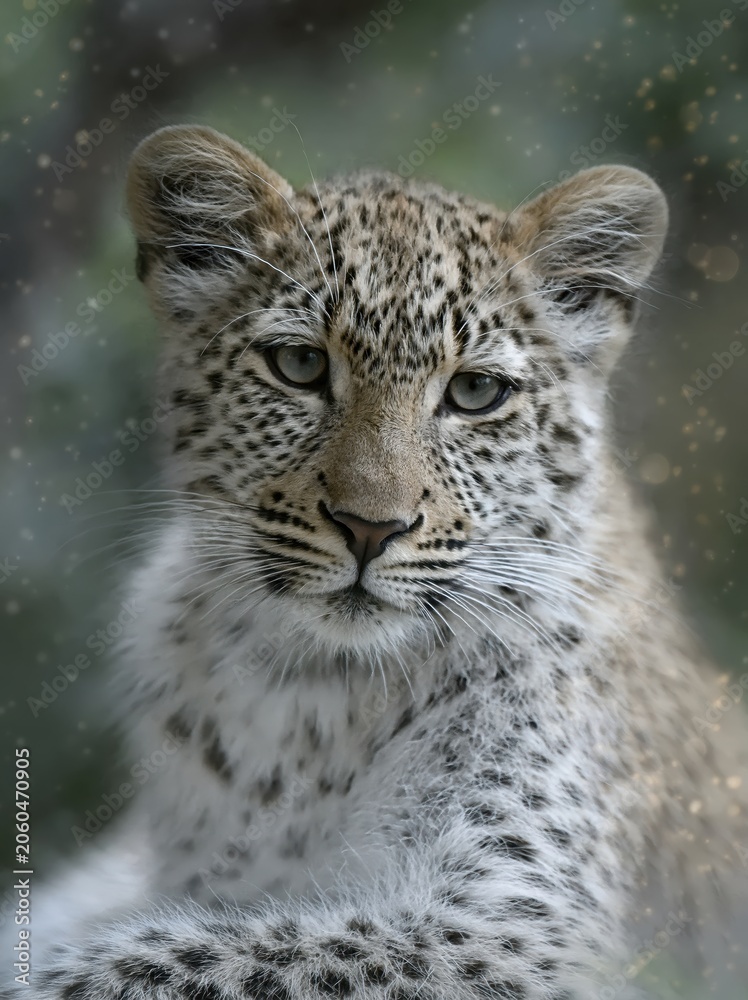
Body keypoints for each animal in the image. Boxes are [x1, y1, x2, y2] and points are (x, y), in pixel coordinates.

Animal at [8, 124, 748, 1000]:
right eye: (298, 366)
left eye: (476, 392)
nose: (369, 528)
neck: (306, 691)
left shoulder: (521, 931)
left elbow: (181, 957)